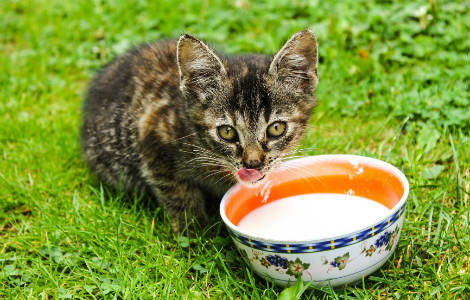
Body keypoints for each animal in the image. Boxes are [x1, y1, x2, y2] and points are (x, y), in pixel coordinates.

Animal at [82, 29, 322, 231]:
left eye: (276, 128)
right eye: (227, 132)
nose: (252, 164)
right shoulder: (153, 136)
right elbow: (178, 193)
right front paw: (195, 232)